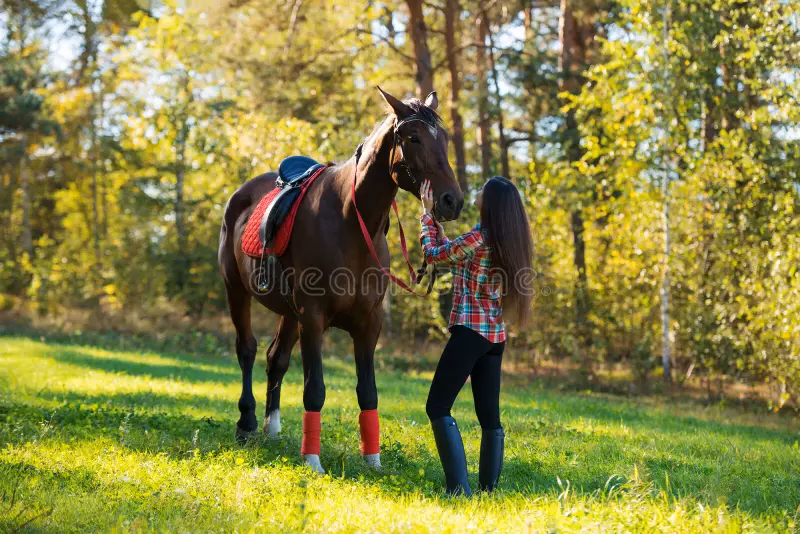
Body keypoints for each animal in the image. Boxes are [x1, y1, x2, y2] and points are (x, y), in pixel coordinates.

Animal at [218, 87, 464, 473]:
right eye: (413, 137)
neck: (351, 221)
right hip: (237, 291)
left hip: (289, 313)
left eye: (446, 139)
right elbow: (314, 389)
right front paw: (312, 461)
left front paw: (373, 460)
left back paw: (272, 428)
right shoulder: (314, 317)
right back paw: (247, 422)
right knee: (247, 350)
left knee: (276, 358)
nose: (452, 200)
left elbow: (368, 391)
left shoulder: (368, 323)